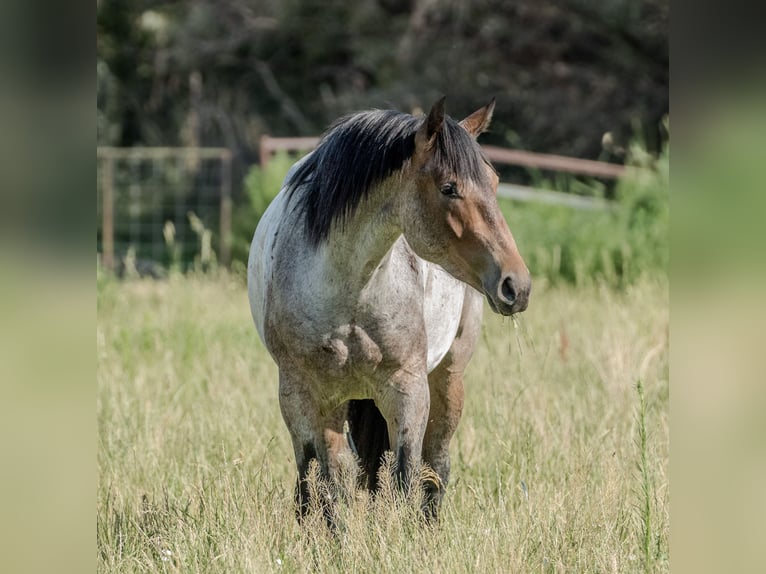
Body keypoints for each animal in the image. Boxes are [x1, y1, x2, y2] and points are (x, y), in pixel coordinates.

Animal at [249, 97, 532, 524]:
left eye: (495, 183)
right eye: (449, 188)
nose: (516, 285)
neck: (347, 287)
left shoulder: (407, 389)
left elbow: (403, 478)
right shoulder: (300, 393)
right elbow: (320, 485)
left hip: (448, 378)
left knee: (435, 466)